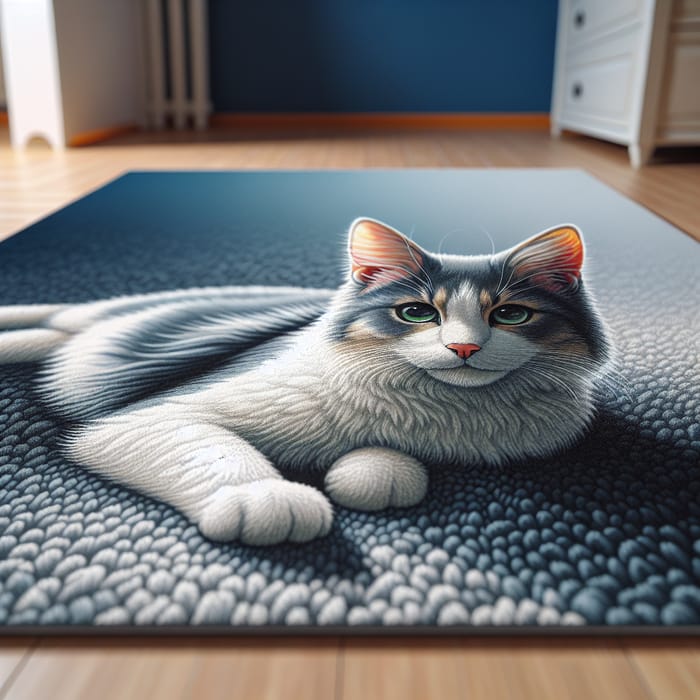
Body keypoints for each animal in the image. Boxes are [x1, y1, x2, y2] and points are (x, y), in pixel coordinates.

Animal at [0, 219, 612, 548]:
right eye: (417, 313)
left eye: (510, 315)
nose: (463, 348)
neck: (448, 415)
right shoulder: (150, 416)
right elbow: (215, 452)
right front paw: (268, 500)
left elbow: (384, 465)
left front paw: (374, 473)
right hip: (90, 322)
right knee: (49, 321)